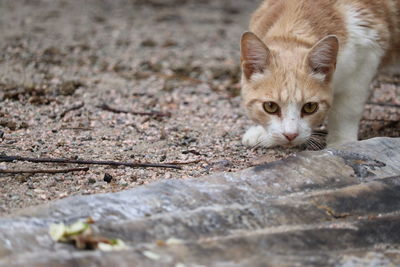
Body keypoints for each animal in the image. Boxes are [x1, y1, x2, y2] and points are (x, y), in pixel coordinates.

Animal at [241, 0, 400, 150]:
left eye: (310, 107)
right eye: (270, 106)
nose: (290, 135)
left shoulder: (365, 57)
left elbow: (347, 109)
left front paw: (341, 143)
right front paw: (262, 133)